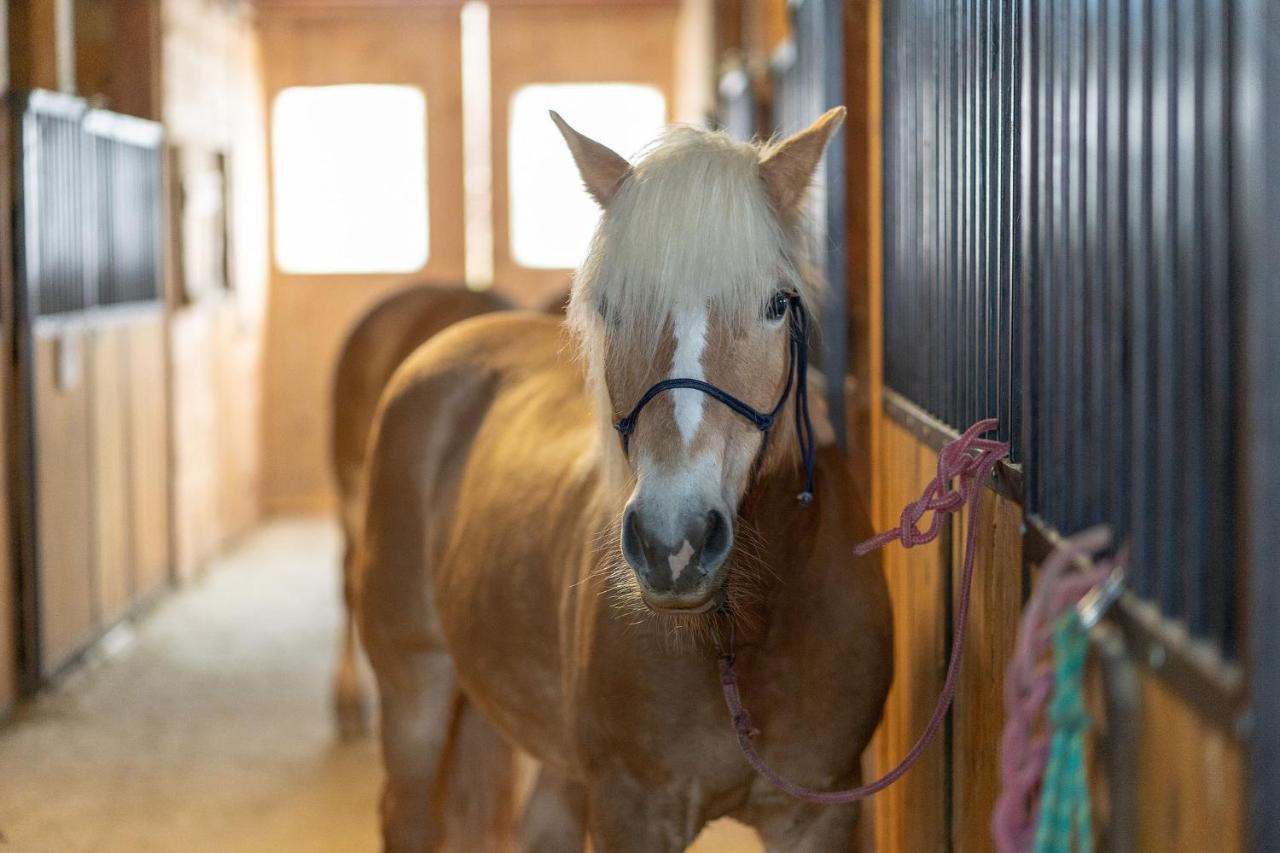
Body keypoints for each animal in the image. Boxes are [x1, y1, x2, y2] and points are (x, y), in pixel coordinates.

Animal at [353, 109, 890, 845]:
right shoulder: (632, 809)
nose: (674, 542)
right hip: (414, 685)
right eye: (610, 307)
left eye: (778, 304)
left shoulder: (820, 812)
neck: (743, 637)